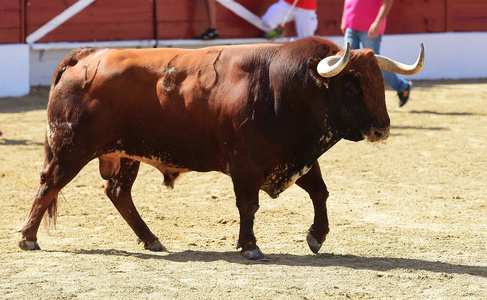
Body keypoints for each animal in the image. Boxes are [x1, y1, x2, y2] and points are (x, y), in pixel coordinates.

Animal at [19, 37, 424, 258]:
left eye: (379, 81)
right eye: (352, 85)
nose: (382, 128)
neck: (284, 88)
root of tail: (88, 56)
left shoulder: (297, 158)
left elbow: (321, 193)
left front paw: (316, 237)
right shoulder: (245, 165)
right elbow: (248, 205)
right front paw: (250, 246)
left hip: (125, 156)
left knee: (118, 193)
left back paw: (151, 240)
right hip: (71, 148)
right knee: (49, 184)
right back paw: (28, 238)